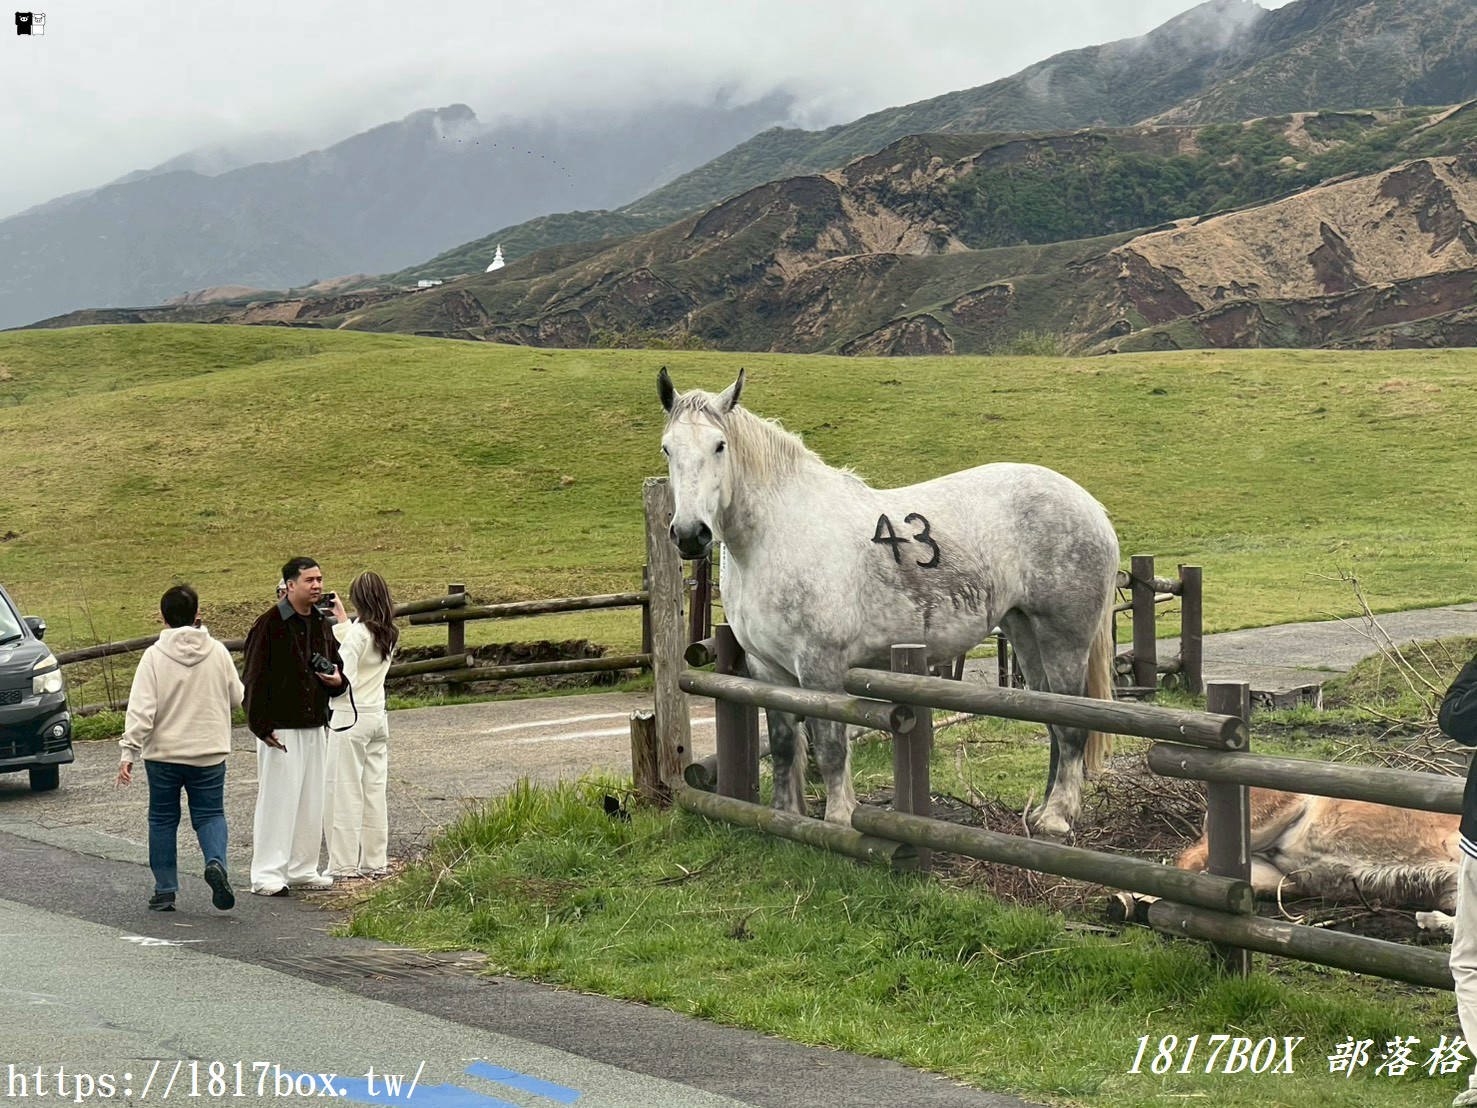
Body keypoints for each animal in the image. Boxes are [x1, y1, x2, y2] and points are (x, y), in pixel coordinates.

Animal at [657, 367, 1120, 839]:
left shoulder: (820, 665)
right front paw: (786, 818)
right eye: (667, 447)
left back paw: (1057, 817)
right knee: (1053, 718)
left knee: (1071, 724)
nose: (690, 534)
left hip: (1063, 638)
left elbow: (830, 745)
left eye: (719, 445)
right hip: (1024, 631)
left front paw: (840, 819)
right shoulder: (767, 668)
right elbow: (786, 745)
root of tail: (1090, 507)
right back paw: (1044, 811)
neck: (777, 534)